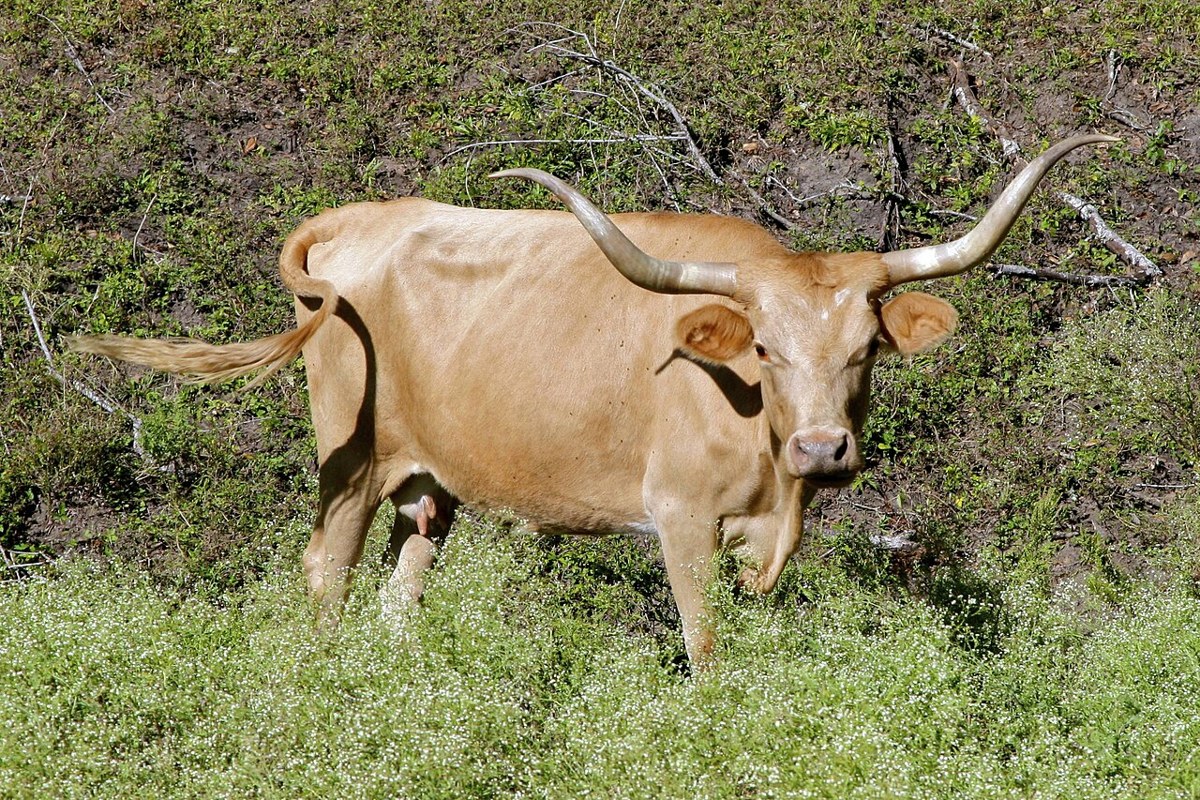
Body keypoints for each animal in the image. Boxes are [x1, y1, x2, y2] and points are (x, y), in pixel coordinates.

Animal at [70, 135, 1117, 664]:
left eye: (866, 352)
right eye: (765, 348)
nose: (823, 449)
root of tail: (358, 219)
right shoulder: (681, 518)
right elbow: (707, 647)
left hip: (429, 484)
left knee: (402, 589)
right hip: (351, 458)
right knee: (326, 573)